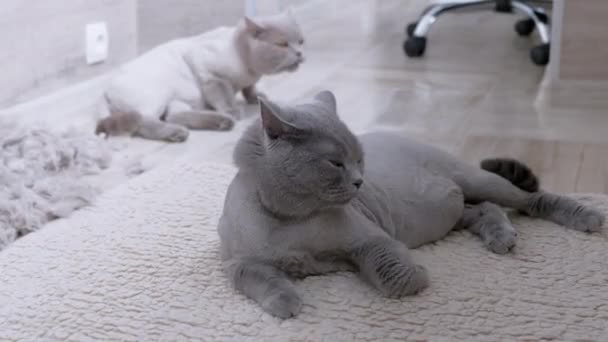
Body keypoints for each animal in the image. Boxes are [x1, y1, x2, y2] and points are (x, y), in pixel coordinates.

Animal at [95, 10, 304, 142]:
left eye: (301, 41)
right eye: (282, 44)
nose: (300, 53)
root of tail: (105, 91)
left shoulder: (247, 80)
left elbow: (249, 87)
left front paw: (256, 97)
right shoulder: (208, 72)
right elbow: (223, 94)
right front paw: (233, 110)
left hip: (179, 100)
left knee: (174, 115)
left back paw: (221, 122)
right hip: (157, 96)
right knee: (145, 121)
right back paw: (179, 132)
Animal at [216, 90, 604, 318]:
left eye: (359, 159)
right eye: (336, 164)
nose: (359, 181)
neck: (288, 220)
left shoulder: (369, 240)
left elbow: (393, 275)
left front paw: (417, 278)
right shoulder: (238, 264)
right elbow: (263, 279)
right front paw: (285, 303)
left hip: (476, 180)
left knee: (529, 200)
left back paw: (585, 217)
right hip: (454, 210)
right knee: (484, 210)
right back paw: (501, 237)